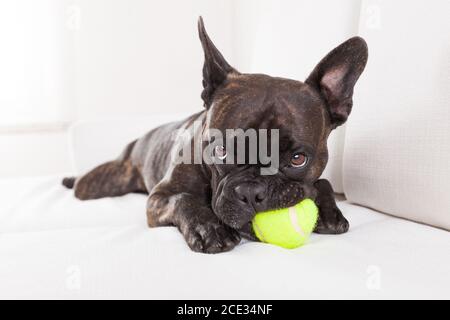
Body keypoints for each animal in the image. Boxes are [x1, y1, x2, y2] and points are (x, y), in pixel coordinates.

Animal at [63, 17, 368, 254]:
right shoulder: (159, 197)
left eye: (298, 159)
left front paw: (330, 212)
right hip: (101, 182)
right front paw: (208, 228)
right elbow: (184, 199)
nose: (251, 192)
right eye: (220, 151)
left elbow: (324, 182)